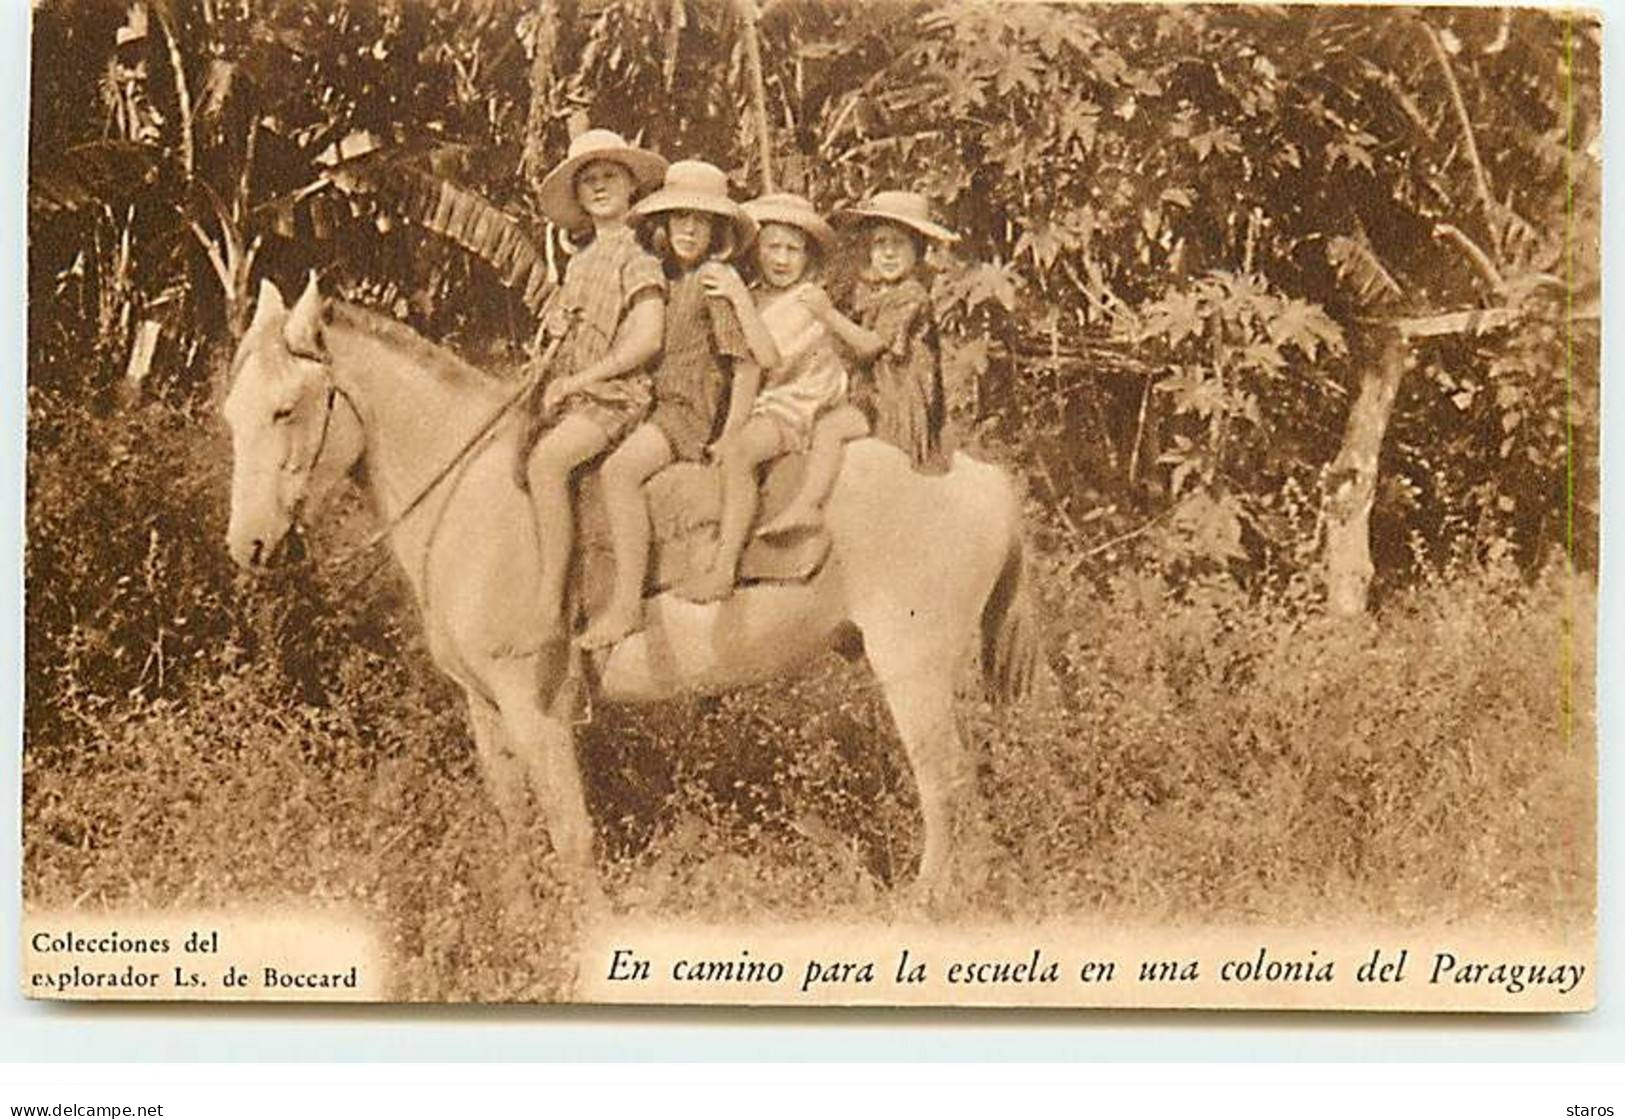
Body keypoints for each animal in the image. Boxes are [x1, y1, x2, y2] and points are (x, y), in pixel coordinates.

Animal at [222, 277, 1033, 915]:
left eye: (286, 409)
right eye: (232, 412)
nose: (248, 546)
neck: (471, 498)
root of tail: (983, 479)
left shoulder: (535, 708)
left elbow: (570, 833)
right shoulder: (485, 708)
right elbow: (516, 823)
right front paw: (520, 917)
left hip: (913, 672)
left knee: (947, 787)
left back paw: (928, 907)